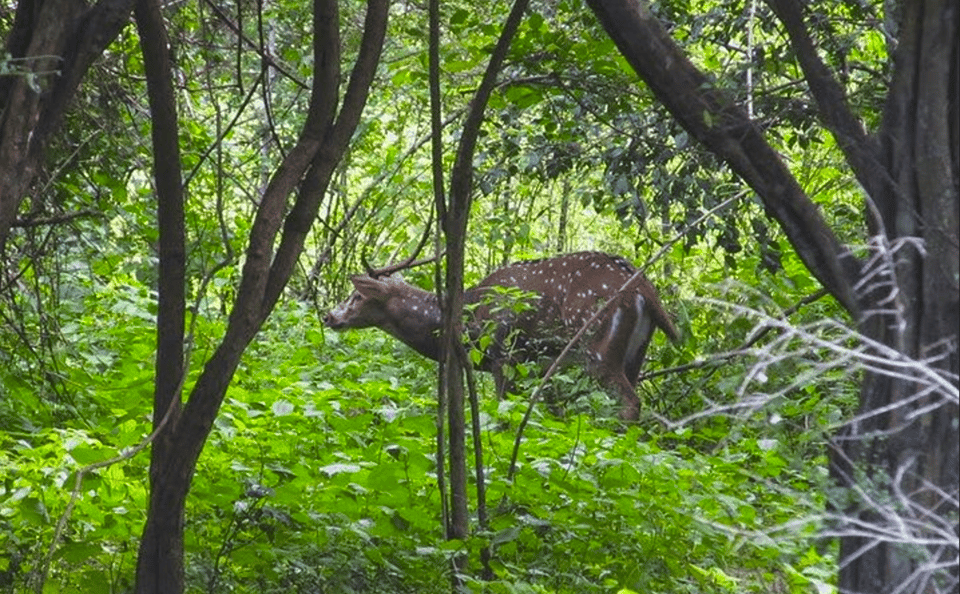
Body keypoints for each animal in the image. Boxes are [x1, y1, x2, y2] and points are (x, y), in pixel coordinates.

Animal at [326, 252, 680, 418]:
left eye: (357, 296)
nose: (329, 316)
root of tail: (644, 289)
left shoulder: (504, 355)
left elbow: (503, 408)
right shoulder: (540, 368)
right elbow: (553, 414)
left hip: (597, 349)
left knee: (631, 401)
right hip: (635, 354)